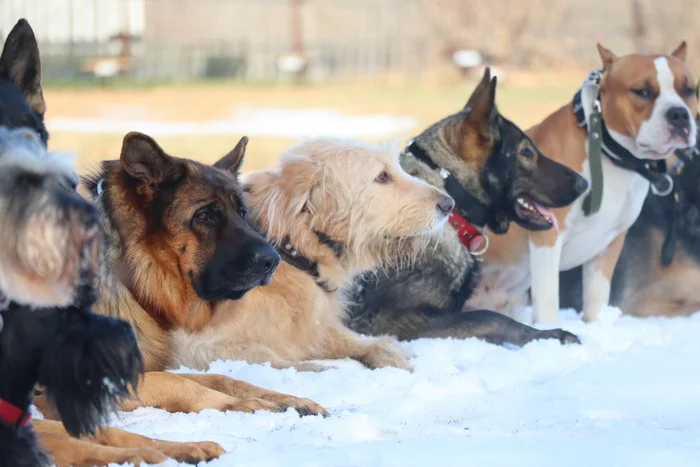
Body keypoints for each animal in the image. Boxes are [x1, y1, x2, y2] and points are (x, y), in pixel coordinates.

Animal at [168, 136, 454, 372]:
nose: (449, 204)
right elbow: (266, 355)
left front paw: (384, 350)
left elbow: (340, 338)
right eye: (382, 176)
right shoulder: (192, 345)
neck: (291, 248)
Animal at [346, 67, 584, 346]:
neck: (452, 203)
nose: (584, 183)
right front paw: (548, 334)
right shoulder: (385, 319)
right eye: (526, 152)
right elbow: (490, 317)